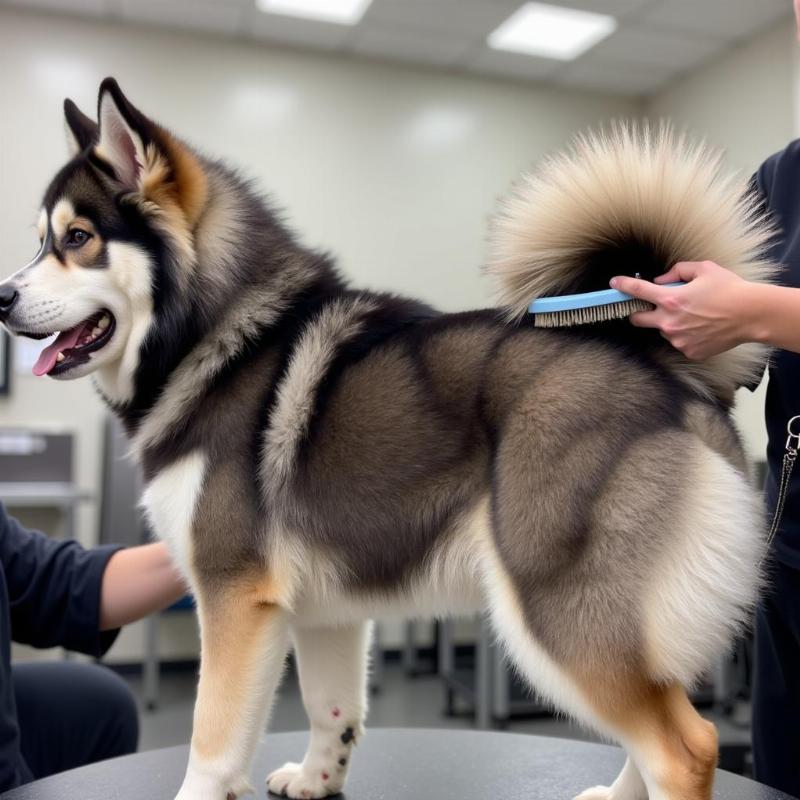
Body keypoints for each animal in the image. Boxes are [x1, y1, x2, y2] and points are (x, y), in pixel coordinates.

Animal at [0, 76, 776, 800]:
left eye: (77, 239)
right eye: (40, 240)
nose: (1, 297)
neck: (216, 338)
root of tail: (659, 357)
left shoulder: (233, 598)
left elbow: (212, 740)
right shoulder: (320, 610)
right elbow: (333, 707)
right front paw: (318, 779)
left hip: (556, 609)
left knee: (685, 745)